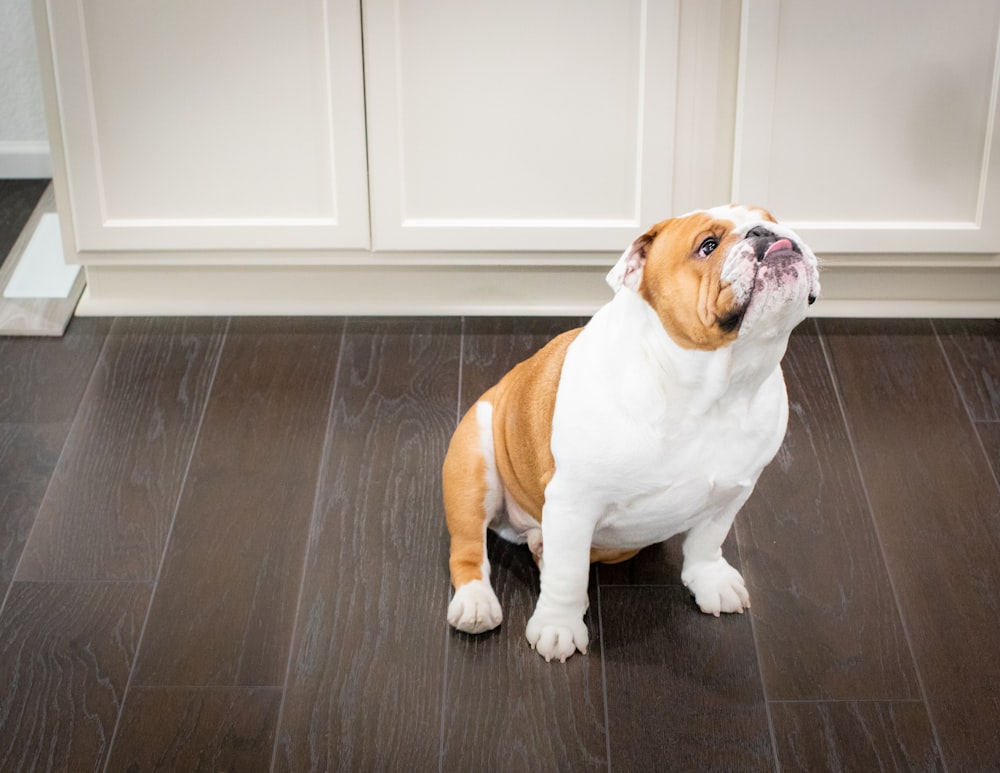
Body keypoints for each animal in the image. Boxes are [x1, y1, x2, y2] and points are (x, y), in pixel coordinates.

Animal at [442, 202, 816, 660]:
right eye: (708, 246)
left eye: (771, 217)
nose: (765, 232)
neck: (714, 389)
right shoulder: (574, 501)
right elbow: (567, 576)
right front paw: (558, 625)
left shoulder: (732, 493)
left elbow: (707, 541)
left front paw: (711, 579)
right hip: (472, 465)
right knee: (469, 547)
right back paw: (476, 603)